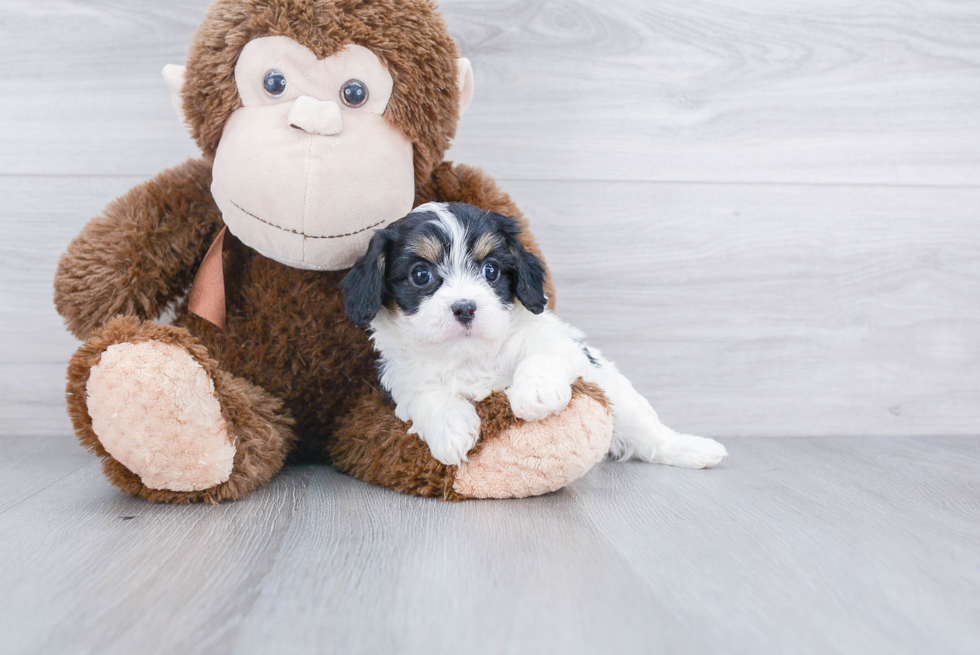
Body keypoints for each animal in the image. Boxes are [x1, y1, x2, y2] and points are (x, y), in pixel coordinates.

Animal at [344, 202, 728, 468]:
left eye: (491, 271)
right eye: (420, 275)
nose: (465, 308)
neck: (469, 355)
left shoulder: (558, 344)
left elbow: (541, 356)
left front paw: (535, 394)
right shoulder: (401, 378)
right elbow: (427, 394)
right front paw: (450, 429)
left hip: (622, 400)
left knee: (652, 436)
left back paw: (695, 450)